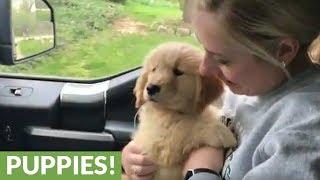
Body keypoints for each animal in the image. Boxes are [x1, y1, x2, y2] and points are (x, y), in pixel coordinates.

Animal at [129, 41, 235, 179]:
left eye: (178, 71)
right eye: (154, 69)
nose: (151, 88)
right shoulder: (158, 143)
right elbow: (185, 128)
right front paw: (220, 132)